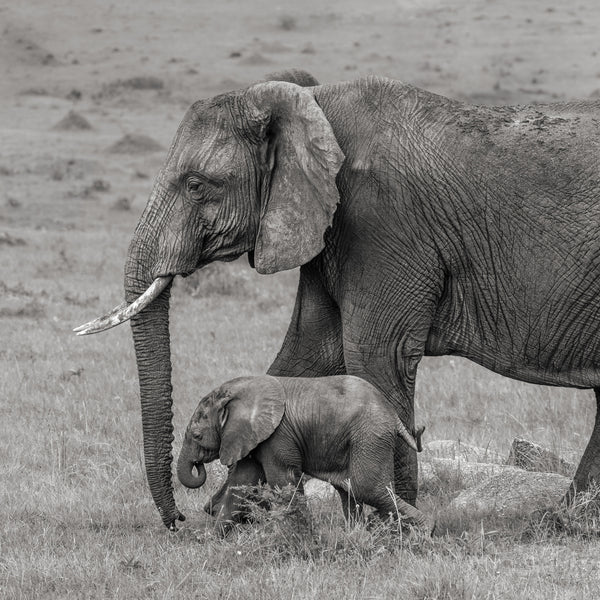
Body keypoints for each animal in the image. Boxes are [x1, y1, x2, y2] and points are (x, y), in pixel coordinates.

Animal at [176, 376, 428, 528]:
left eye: (197, 436)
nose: (198, 465)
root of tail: (393, 414)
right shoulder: (253, 437)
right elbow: (242, 481)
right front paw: (214, 539)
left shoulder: (277, 436)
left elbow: (283, 481)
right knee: (351, 489)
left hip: (370, 435)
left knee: (366, 487)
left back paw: (428, 530)